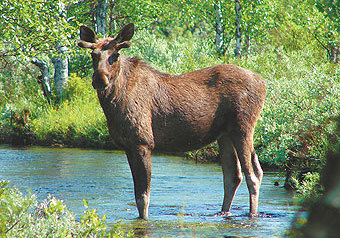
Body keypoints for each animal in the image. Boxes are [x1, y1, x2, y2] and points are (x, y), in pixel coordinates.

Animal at [78, 22, 266, 219]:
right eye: (93, 54)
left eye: (115, 55)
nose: (100, 79)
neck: (114, 105)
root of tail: (264, 83)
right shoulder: (127, 146)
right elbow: (137, 197)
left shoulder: (143, 143)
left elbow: (143, 197)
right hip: (225, 135)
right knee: (233, 176)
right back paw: (224, 212)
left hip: (243, 128)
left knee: (253, 174)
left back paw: (252, 214)